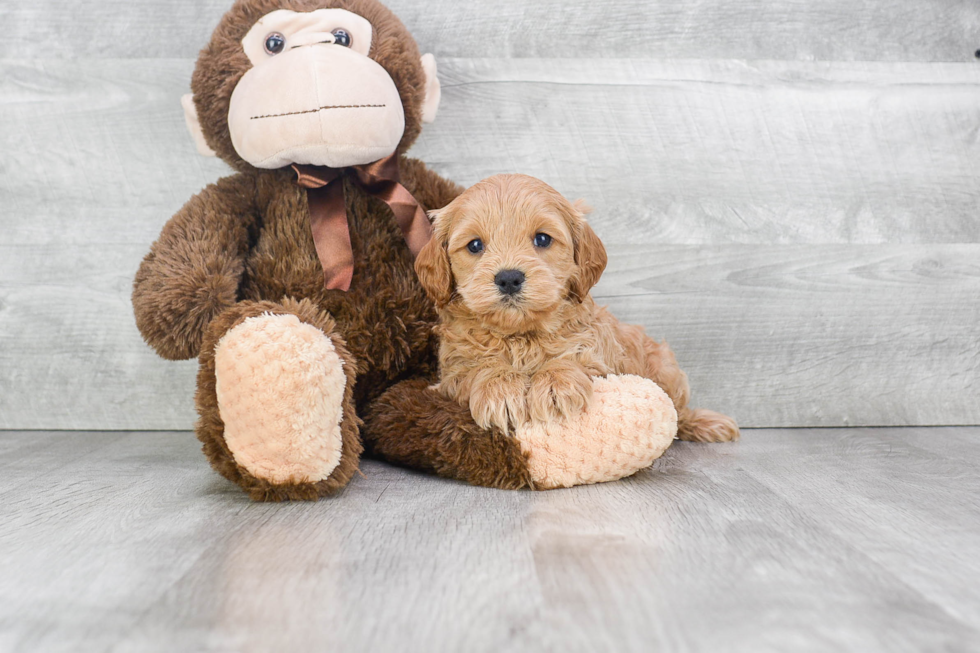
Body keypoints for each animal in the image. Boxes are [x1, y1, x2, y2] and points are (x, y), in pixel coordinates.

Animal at [412, 171, 736, 440]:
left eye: (542, 239)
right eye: (475, 245)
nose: (508, 278)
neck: (521, 335)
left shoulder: (601, 358)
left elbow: (574, 358)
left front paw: (556, 385)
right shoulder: (452, 371)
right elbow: (476, 367)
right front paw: (500, 389)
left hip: (665, 367)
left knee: (678, 409)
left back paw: (706, 423)